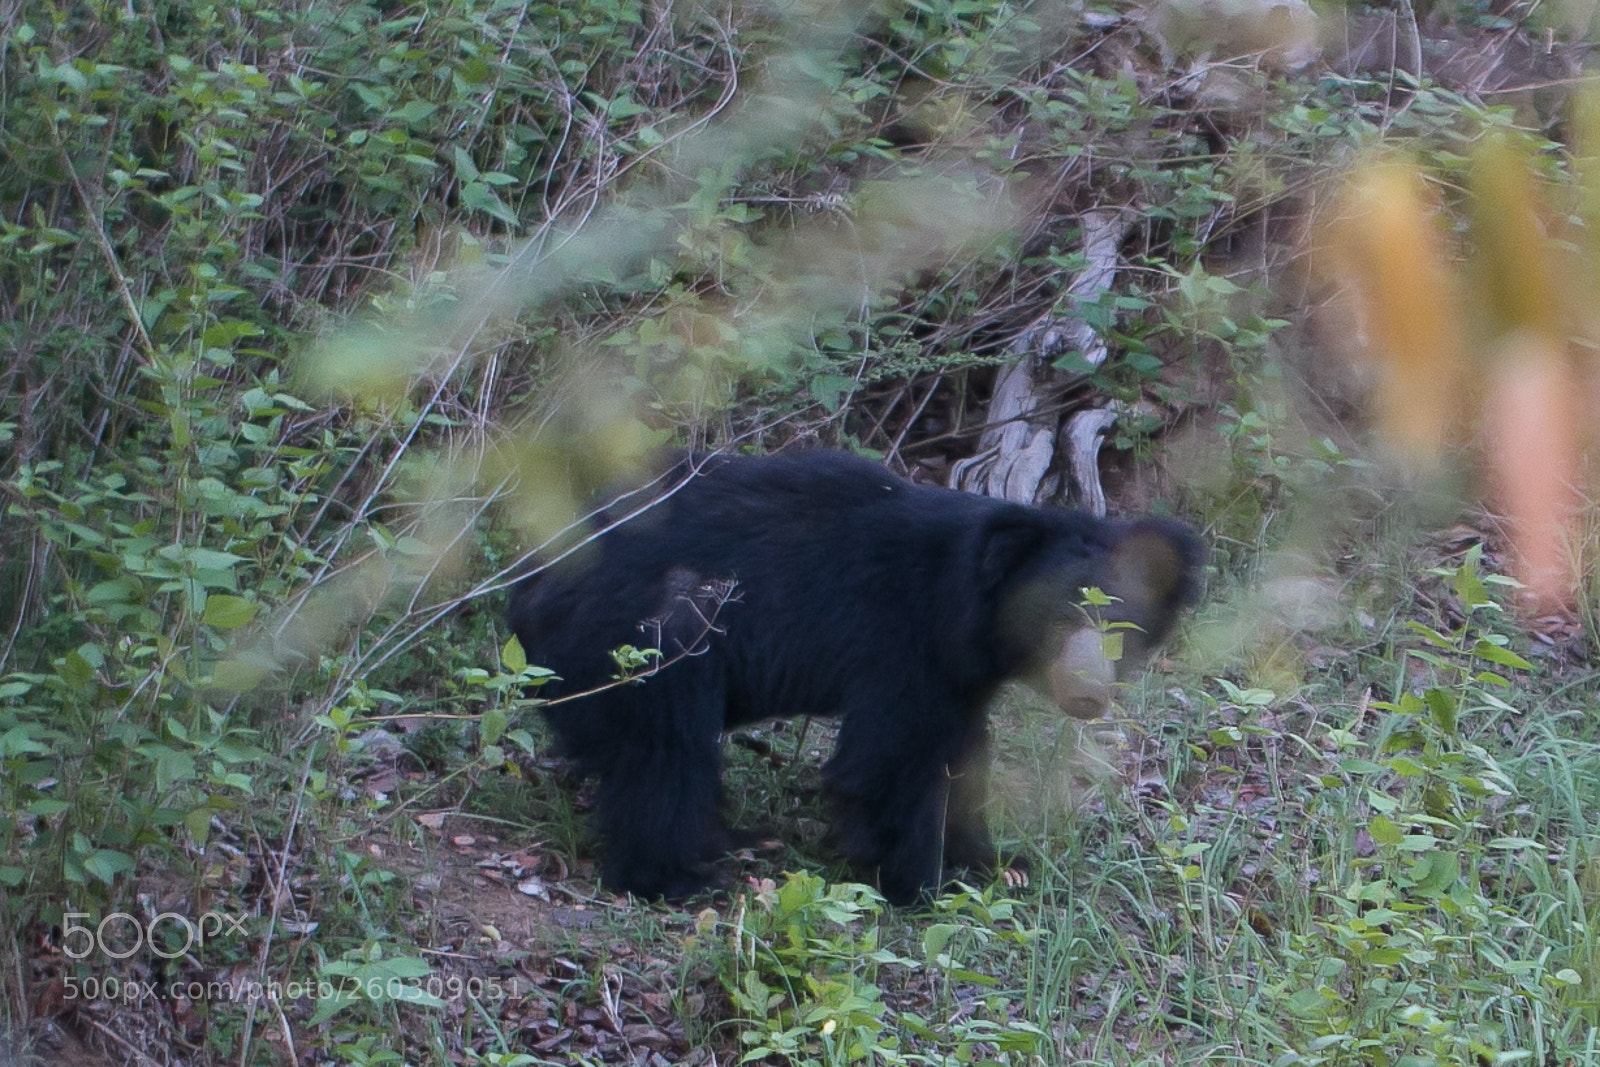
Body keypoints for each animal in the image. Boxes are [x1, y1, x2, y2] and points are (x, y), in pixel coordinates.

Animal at [508, 449, 1202, 904]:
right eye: (1059, 618)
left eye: (1122, 628)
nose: (1089, 694)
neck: (962, 603)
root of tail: (533, 583)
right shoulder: (901, 641)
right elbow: (896, 757)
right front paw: (919, 881)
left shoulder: (959, 675)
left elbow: (963, 753)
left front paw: (997, 860)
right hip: (657, 629)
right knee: (665, 753)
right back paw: (682, 875)